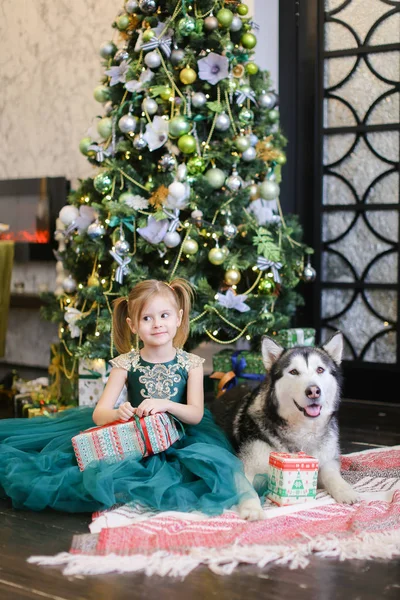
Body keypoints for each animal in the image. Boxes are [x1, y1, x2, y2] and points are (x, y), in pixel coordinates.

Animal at [211, 332, 358, 520]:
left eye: (320, 370)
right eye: (294, 372)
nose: (313, 391)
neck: (302, 430)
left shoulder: (327, 460)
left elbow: (332, 475)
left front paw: (346, 490)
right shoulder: (244, 468)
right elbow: (248, 489)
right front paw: (252, 509)